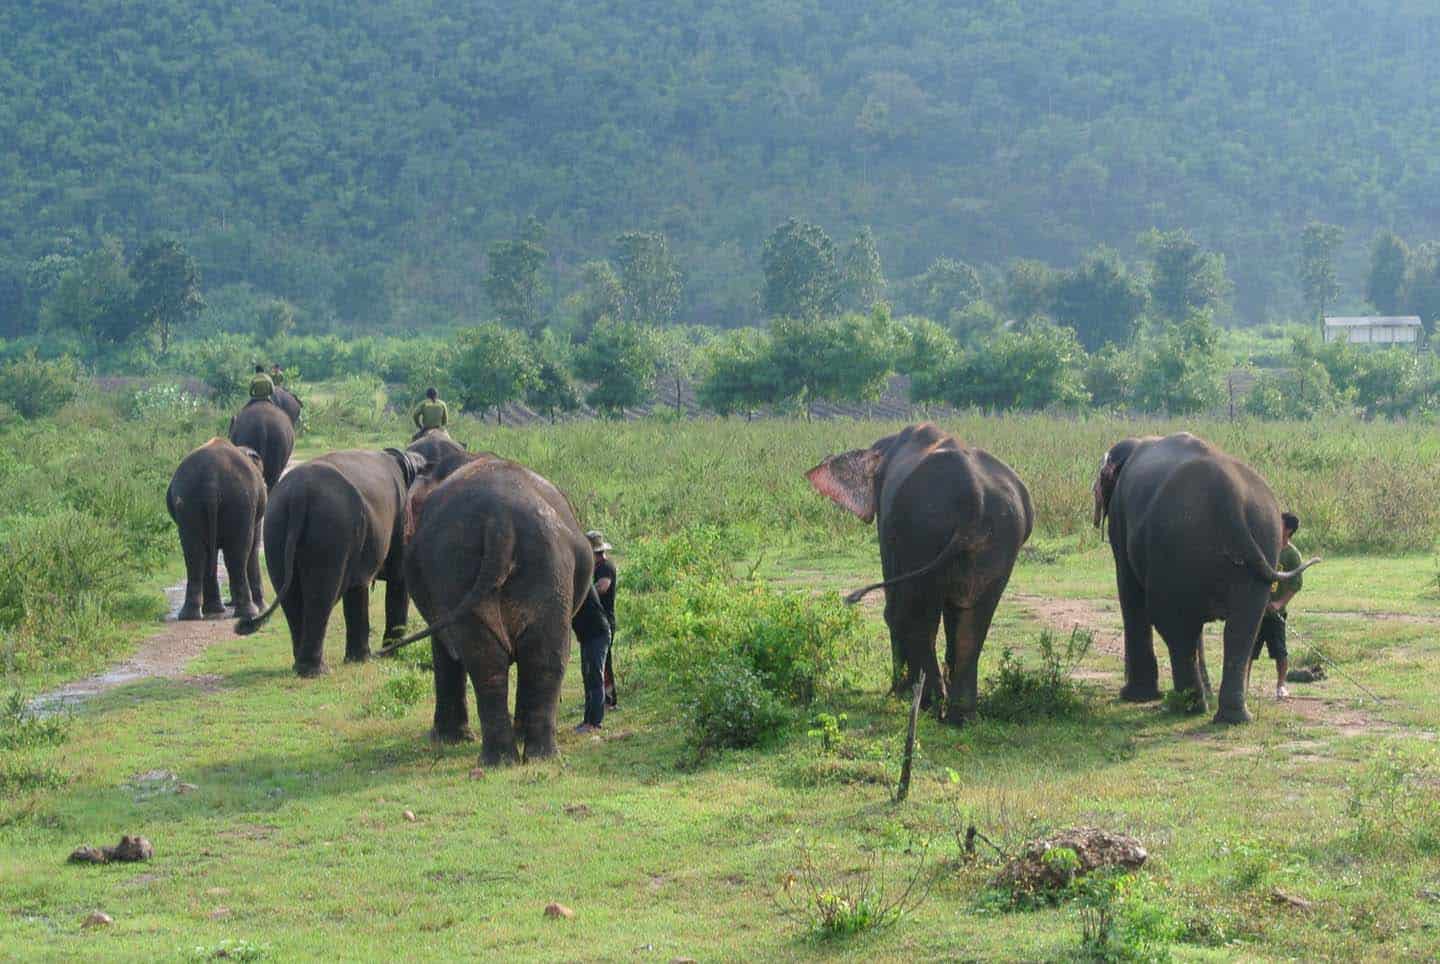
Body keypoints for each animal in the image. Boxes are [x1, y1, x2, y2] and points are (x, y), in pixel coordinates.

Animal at [165, 440, 267, 619]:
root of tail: (210, 478)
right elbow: (253, 548)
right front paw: (263, 608)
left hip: (188, 501)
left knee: (195, 553)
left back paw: (194, 614)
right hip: (241, 502)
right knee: (238, 553)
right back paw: (249, 612)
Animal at [233, 446, 423, 677]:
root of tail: (299, 495)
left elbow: (357, 587)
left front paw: (359, 659)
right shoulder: (400, 520)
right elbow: (397, 578)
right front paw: (384, 656)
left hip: (276, 527)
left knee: (293, 597)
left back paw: (302, 668)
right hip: (329, 530)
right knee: (322, 595)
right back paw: (318, 671)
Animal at [388, 449, 590, 760]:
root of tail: (500, 520)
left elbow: (444, 648)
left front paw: (444, 739)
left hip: (458, 568)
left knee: (486, 660)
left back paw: (506, 757)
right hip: (548, 567)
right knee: (540, 656)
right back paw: (531, 756)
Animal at [806, 420, 1031, 720]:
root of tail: (975, 501)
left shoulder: (888, 522)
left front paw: (898, 694)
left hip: (923, 530)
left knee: (917, 614)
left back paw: (928, 705)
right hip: (1001, 542)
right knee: (973, 619)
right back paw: (960, 716)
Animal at [1088, 432, 1319, 717]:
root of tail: (1228, 498)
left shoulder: (1120, 520)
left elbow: (1129, 590)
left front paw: (1133, 697)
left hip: (1175, 547)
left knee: (1175, 625)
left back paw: (1188, 707)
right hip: (1263, 536)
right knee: (1242, 626)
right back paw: (1231, 716)